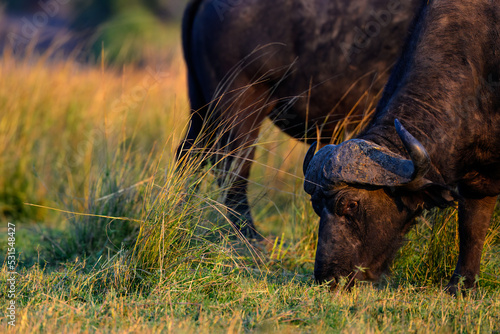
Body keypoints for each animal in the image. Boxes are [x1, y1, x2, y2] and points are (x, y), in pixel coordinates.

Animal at [304, 0, 500, 292]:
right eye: (316, 206)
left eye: (351, 205)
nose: (328, 278)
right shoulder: (476, 180)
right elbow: (470, 228)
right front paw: (461, 286)